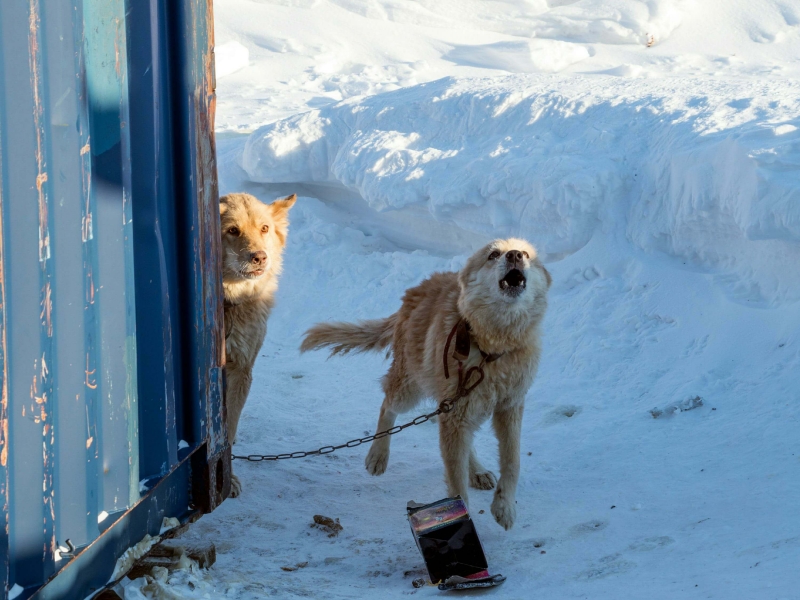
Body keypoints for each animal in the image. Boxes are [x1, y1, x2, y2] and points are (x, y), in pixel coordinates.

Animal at [220, 192, 296, 496]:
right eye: (232, 230)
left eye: (264, 228)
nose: (260, 257)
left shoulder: (241, 370)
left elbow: (227, 432)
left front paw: (227, 479)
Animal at [300, 239, 552, 528]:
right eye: (493, 255)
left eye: (527, 254)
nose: (515, 255)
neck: (493, 347)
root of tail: (413, 292)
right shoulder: (456, 412)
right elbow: (455, 480)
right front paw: (462, 517)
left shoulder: (508, 407)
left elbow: (512, 462)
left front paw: (504, 507)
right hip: (411, 390)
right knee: (387, 405)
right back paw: (378, 455)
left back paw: (476, 470)